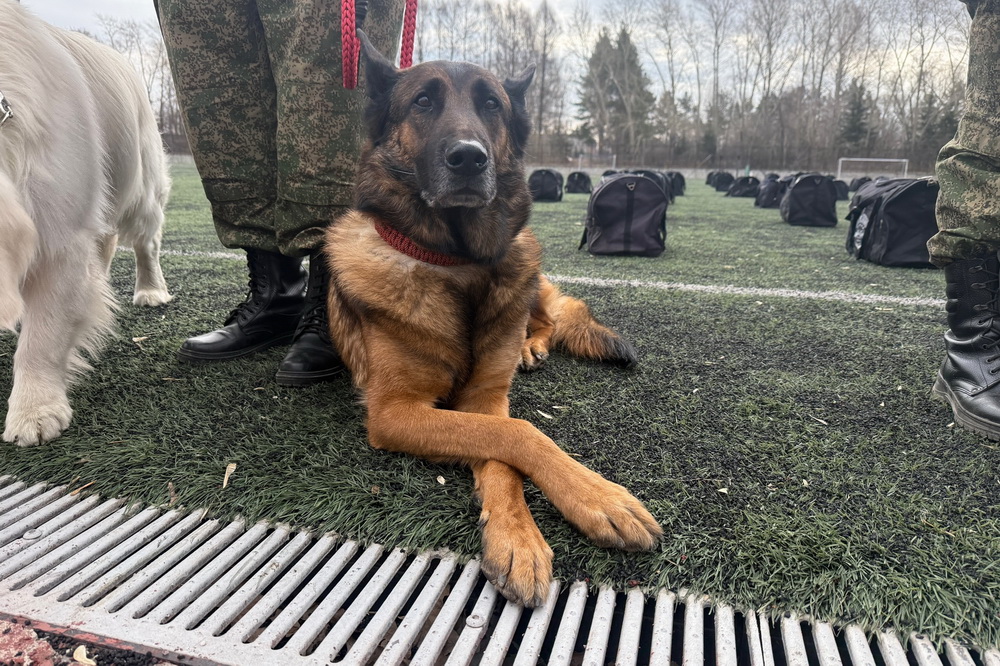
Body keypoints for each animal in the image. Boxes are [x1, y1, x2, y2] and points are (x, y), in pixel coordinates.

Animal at [0, 0, 171, 446]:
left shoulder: (59, 231)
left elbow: (42, 338)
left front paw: (34, 411)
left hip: (140, 182)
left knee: (146, 243)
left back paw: (150, 290)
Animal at [322, 33, 662, 607]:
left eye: (491, 105)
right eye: (423, 102)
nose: (468, 158)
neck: (456, 263)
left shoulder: (484, 396)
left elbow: (509, 440)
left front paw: (561, 512)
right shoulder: (394, 411)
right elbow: (513, 436)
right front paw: (545, 525)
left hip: (531, 277)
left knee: (551, 317)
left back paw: (531, 345)